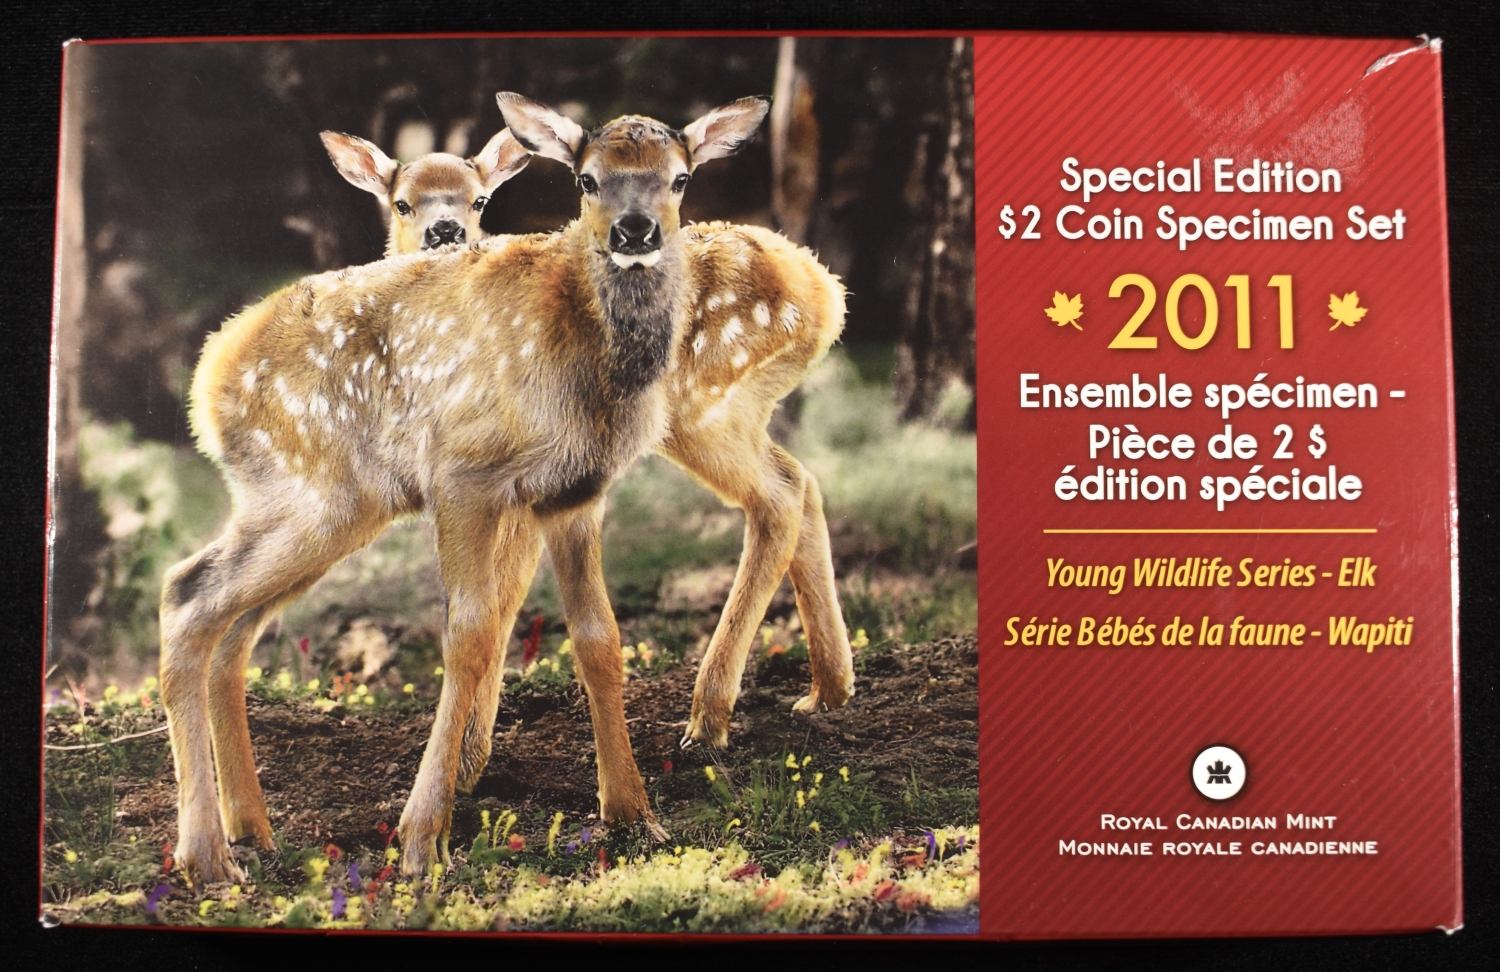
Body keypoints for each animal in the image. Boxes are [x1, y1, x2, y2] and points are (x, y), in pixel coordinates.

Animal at [161, 93, 786, 887]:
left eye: (679, 178)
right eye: (586, 179)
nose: (635, 230)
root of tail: (206, 384)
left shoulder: (576, 491)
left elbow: (600, 638)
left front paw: (633, 813)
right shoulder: (464, 474)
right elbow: (470, 635)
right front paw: (422, 839)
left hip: (318, 507)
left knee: (229, 624)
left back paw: (253, 833)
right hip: (315, 493)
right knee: (188, 594)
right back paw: (207, 857)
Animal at [323, 102, 856, 803]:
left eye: (480, 200)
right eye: (401, 202)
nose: (445, 231)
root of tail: (825, 292)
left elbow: (500, 600)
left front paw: (467, 765)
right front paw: (470, 761)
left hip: (701, 407)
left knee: (779, 496)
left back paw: (708, 719)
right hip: (733, 411)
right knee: (803, 481)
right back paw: (827, 692)